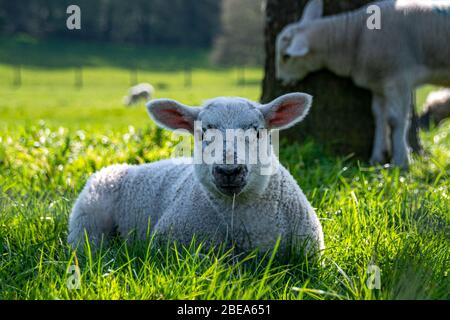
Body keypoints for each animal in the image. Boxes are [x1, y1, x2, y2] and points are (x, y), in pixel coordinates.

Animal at [274, 0, 450, 169]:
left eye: (286, 56)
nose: (280, 79)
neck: (355, 36)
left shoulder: (399, 77)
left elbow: (394, 120)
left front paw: (401, 162)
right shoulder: (379, 83)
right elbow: (379, 117)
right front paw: (377, 158)